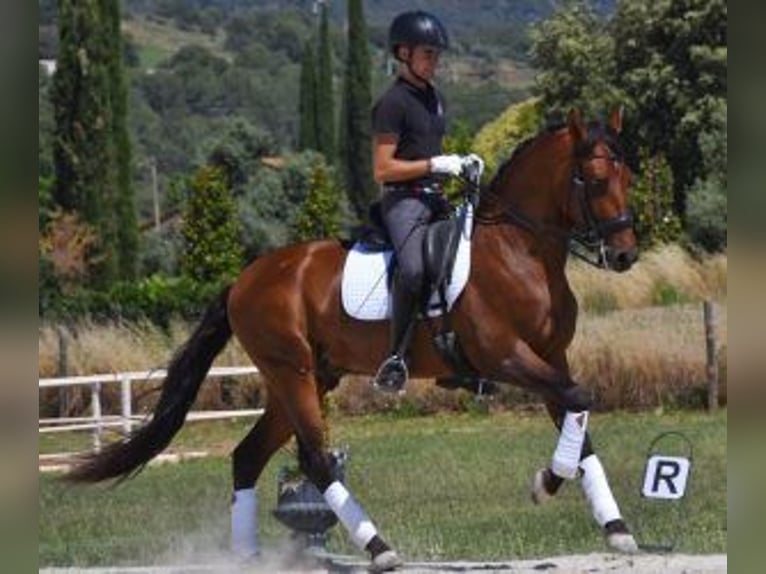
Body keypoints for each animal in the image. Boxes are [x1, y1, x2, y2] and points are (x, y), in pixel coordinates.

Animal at [66, 108, 639, 572]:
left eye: (629, 175)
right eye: (594, 177)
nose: (626, 254)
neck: (521, 251)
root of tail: (246, 278)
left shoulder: (550, 357)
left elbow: (579, 416)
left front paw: (616, 529)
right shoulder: (505, 356)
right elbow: (580, 399)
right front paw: (545, 484)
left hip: (307, 378)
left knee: (248, 457)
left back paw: (249, 557)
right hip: (293, 373)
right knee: (316, 460)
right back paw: (379, 548)